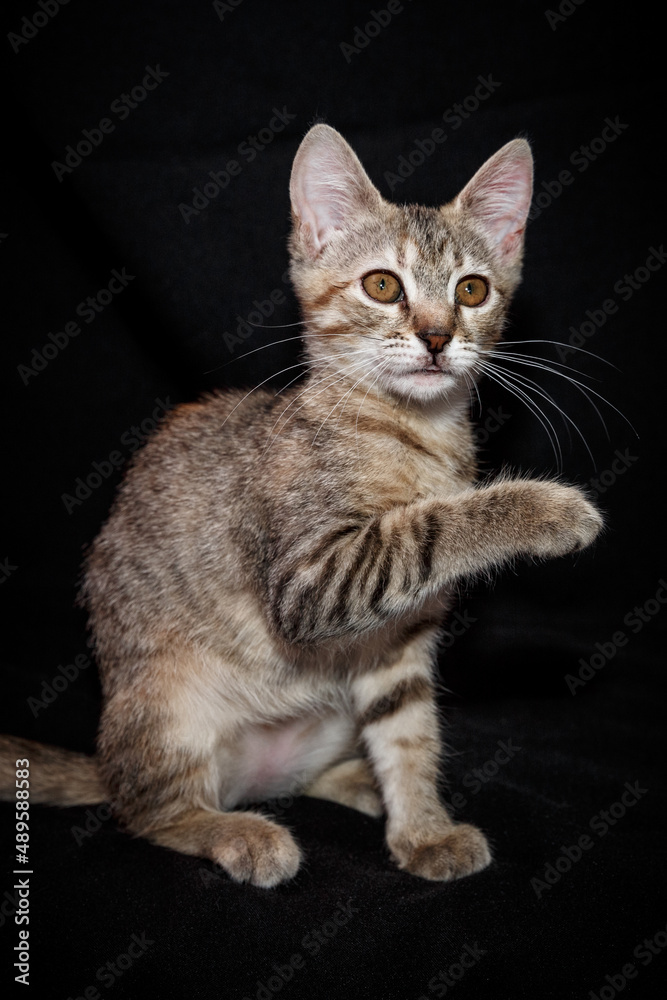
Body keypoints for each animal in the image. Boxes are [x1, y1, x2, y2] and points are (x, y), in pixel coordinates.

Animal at [0, 127, 604, 892]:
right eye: (383, 285)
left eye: (472, 290)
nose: (438, 337)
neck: (415, 433)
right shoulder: (314, 578)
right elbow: (433, 522)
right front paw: (547, 509)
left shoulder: (396, 640)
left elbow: (408, 733)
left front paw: (422, 828)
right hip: (167, 704)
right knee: (146, 811)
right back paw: (234, 831)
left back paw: (361, 788)